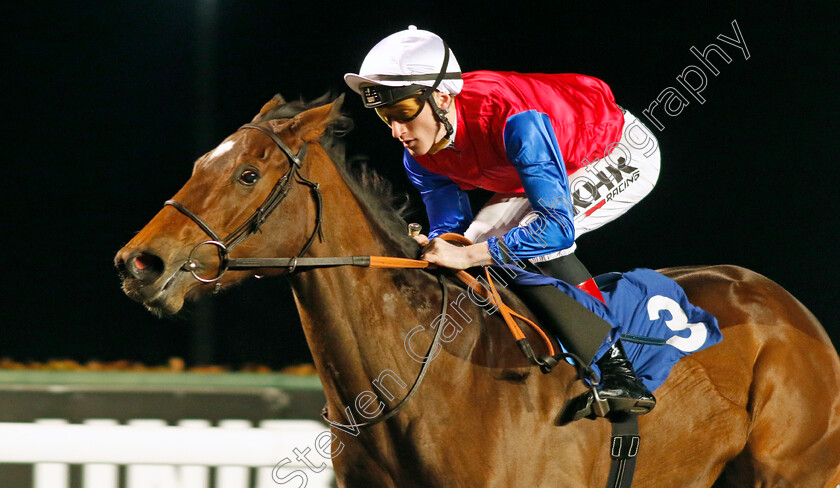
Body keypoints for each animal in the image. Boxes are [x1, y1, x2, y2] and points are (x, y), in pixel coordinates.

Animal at [115, 93, 840, 486]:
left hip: (793, 471)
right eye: (199, 164)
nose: (139, 263)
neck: (422, 382)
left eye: (247, 174)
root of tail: (787, 306)